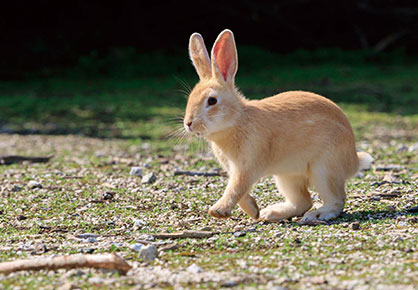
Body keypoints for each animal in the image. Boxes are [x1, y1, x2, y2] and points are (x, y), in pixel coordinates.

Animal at [183, 29, 372, 221]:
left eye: (212, 101)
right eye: (190, 98)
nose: (188, 123)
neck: (236, 121)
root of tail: (353, 160)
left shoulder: (248, 165)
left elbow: (236, 188)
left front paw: (218, 211)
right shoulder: (234, 168)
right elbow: (239, 191)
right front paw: (254, 211)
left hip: (324, 170)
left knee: (336, 200)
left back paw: (316, 215)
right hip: (287, 176)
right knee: (302, 201)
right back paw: (270, 213)